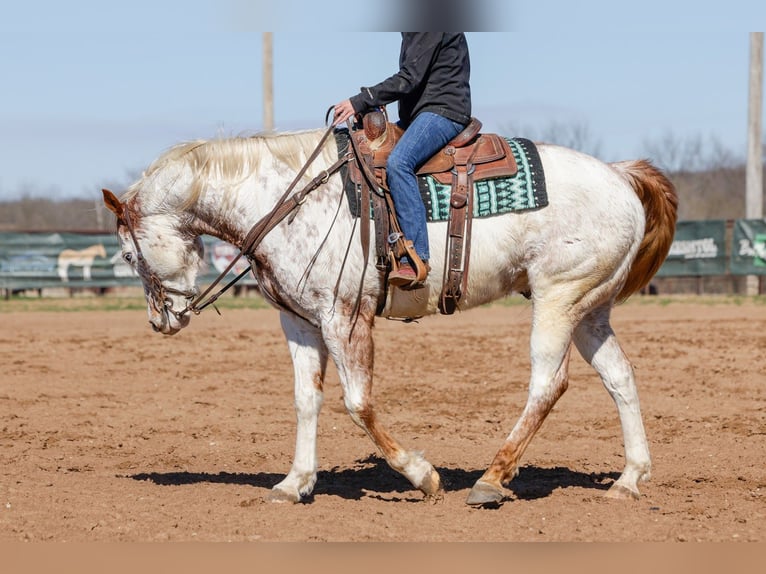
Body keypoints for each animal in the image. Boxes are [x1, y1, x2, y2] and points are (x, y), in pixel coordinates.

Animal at [102, 126, 677, 506]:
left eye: (128, 256)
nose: (161, 321)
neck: (285, 202)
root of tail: (620, 176)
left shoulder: (344, 318)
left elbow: (357, 404)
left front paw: (422, 475)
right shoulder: (301, 323)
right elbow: (306, 400)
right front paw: (295, 483)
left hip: (558, 298)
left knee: (547, 383)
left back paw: (491, 479)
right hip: (590, 309)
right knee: (621, 377)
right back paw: (629, 479)